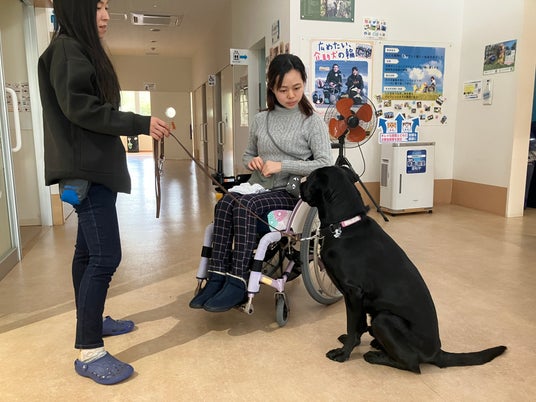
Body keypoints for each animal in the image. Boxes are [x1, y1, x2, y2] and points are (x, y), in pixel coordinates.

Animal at [300, 166, 506, 373]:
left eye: (309, 179)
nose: (299, 183)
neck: (344, 225)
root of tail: (437, 352)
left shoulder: (353, 293)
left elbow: (352, 326)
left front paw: (343, 354)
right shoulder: (355, 297)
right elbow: (358, 326)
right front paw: (353, 344)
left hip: (383, 319)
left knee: (412, 364)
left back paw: (375, 356)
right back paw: (377, 345)